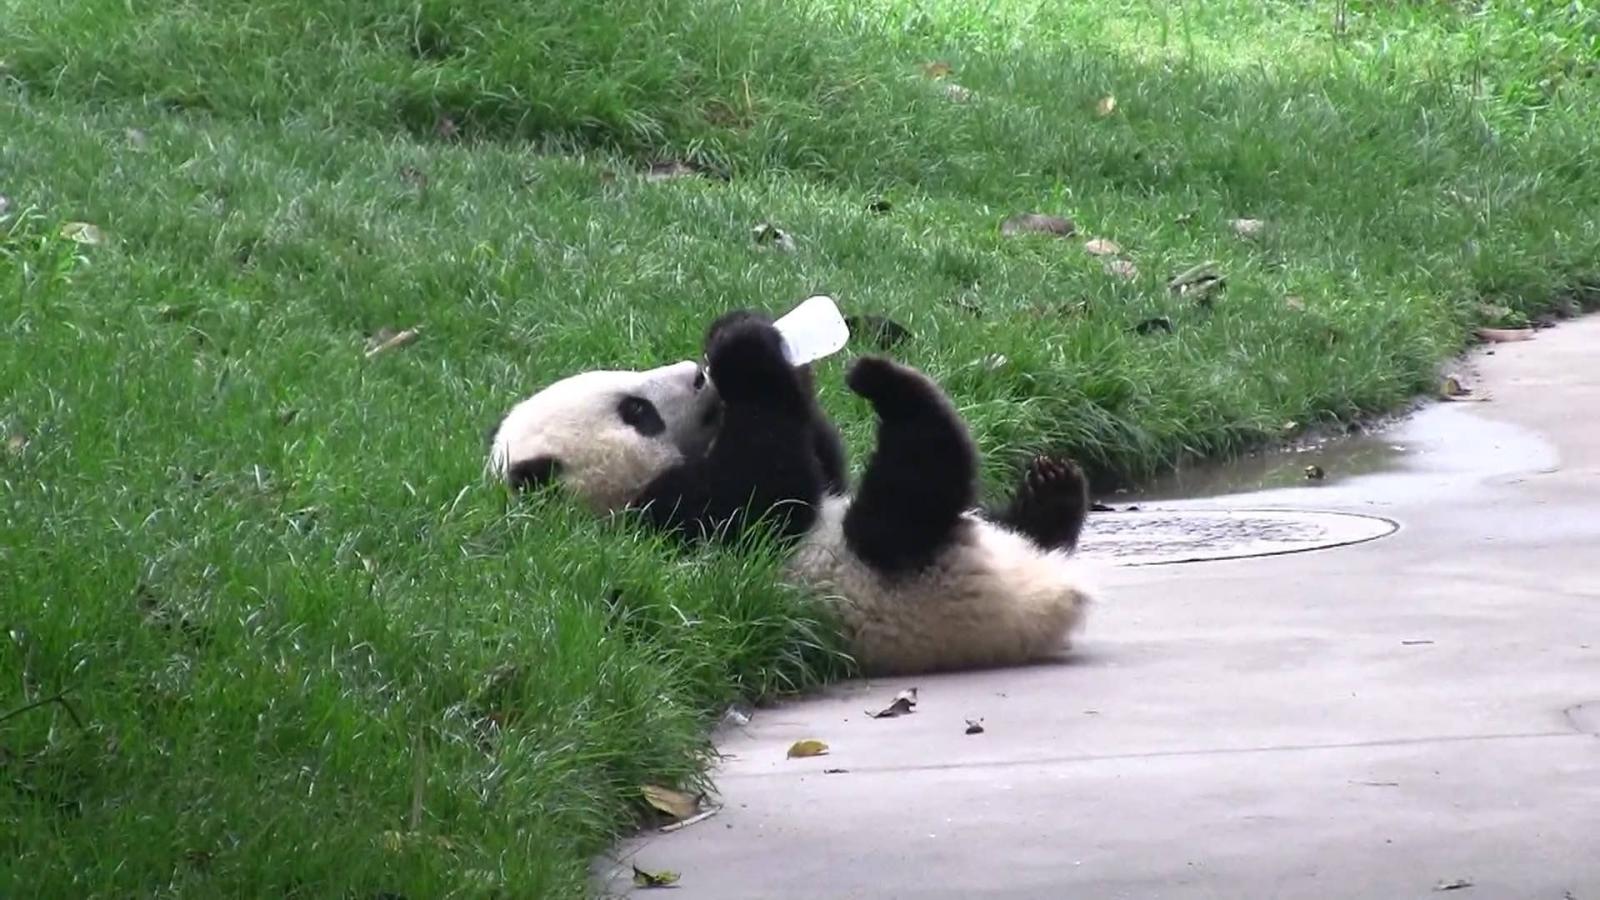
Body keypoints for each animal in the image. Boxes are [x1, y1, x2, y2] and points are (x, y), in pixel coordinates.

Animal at [487, 310, 1096, 676]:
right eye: (637, 412)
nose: (697, 375)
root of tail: (1044, 605)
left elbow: (821, 466)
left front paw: (753, 338)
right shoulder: (666, 526)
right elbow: (767, 495)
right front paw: (747, 354)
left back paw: (1051, 489)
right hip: (897, 574)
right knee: (911, 487)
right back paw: (888, 384)